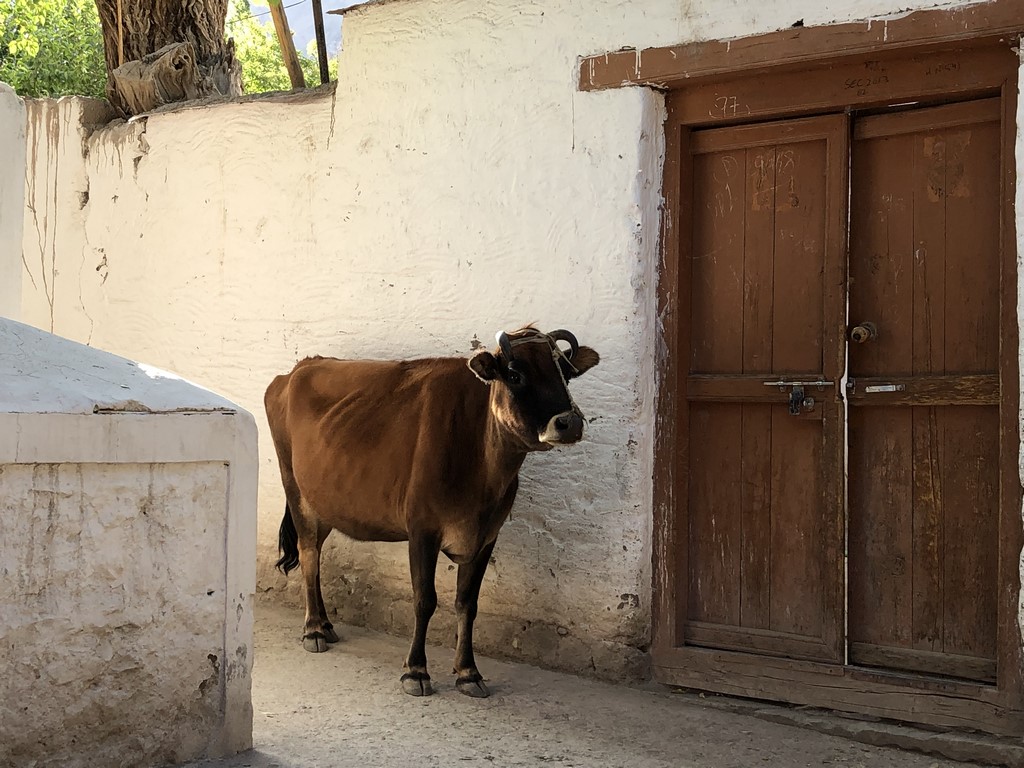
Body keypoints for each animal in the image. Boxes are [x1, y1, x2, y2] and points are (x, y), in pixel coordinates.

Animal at [264, 325, 598, 696]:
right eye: (515, 374)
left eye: (566, 373)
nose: (569, 421)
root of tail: (300, 367)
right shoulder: (422, 530)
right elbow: (424, 599)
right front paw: (416, 670)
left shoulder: (487, 535)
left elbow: (467, 603)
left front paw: (468, 672)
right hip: (295, 489)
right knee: (309, 555)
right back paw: (313, 630)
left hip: (322, 502)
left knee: (317, 555)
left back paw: (326, 624)